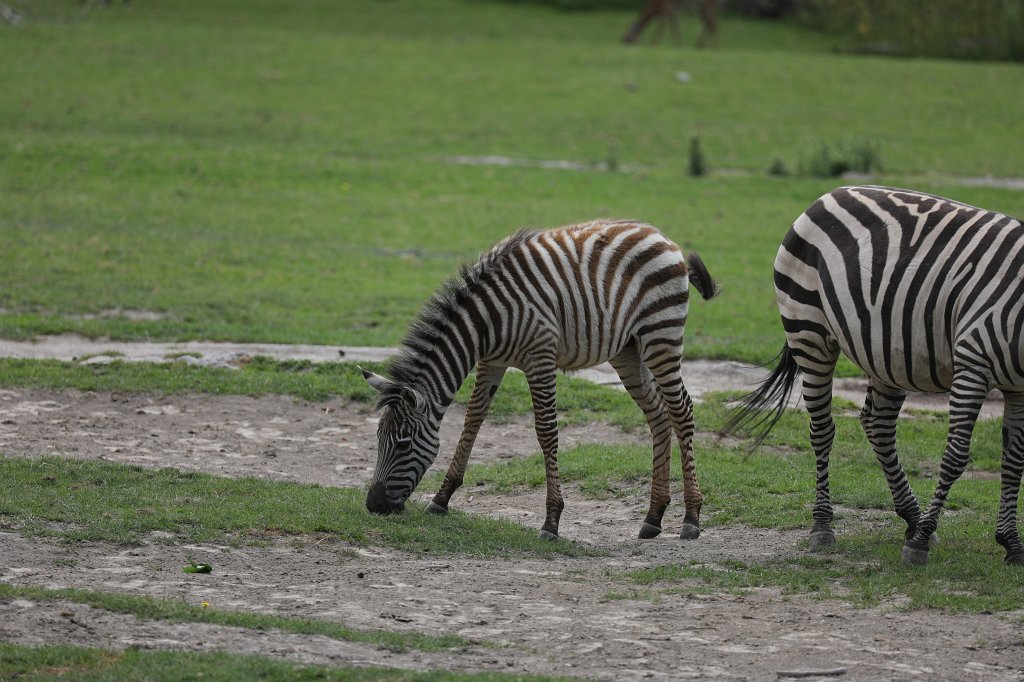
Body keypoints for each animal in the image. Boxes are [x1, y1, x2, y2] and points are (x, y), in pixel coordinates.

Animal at [360, 219, 719, 541]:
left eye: (403, 443)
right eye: (378, 439)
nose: (374, 506)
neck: (486, 323)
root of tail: (659, 235)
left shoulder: (540, 358)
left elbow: (546, 432)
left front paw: (551, 521)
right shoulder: (491, 362)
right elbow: (472, 421)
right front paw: (441, 499)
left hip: (661, 336)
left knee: (681, 411)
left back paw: (690, 518)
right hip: (627, 350)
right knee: (657, 415)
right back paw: (653, 517)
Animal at [726, 185, 1024, 566]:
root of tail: (830, 194)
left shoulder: (1019, 386)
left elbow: (1014, 461)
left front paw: (1011, 543)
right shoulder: (974, 361)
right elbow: (955, 457)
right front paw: (920, 544)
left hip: (889, 353)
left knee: (878, 424)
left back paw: (912, 518)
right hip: (808, 329)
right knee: (822, 430)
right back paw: (823, 527)